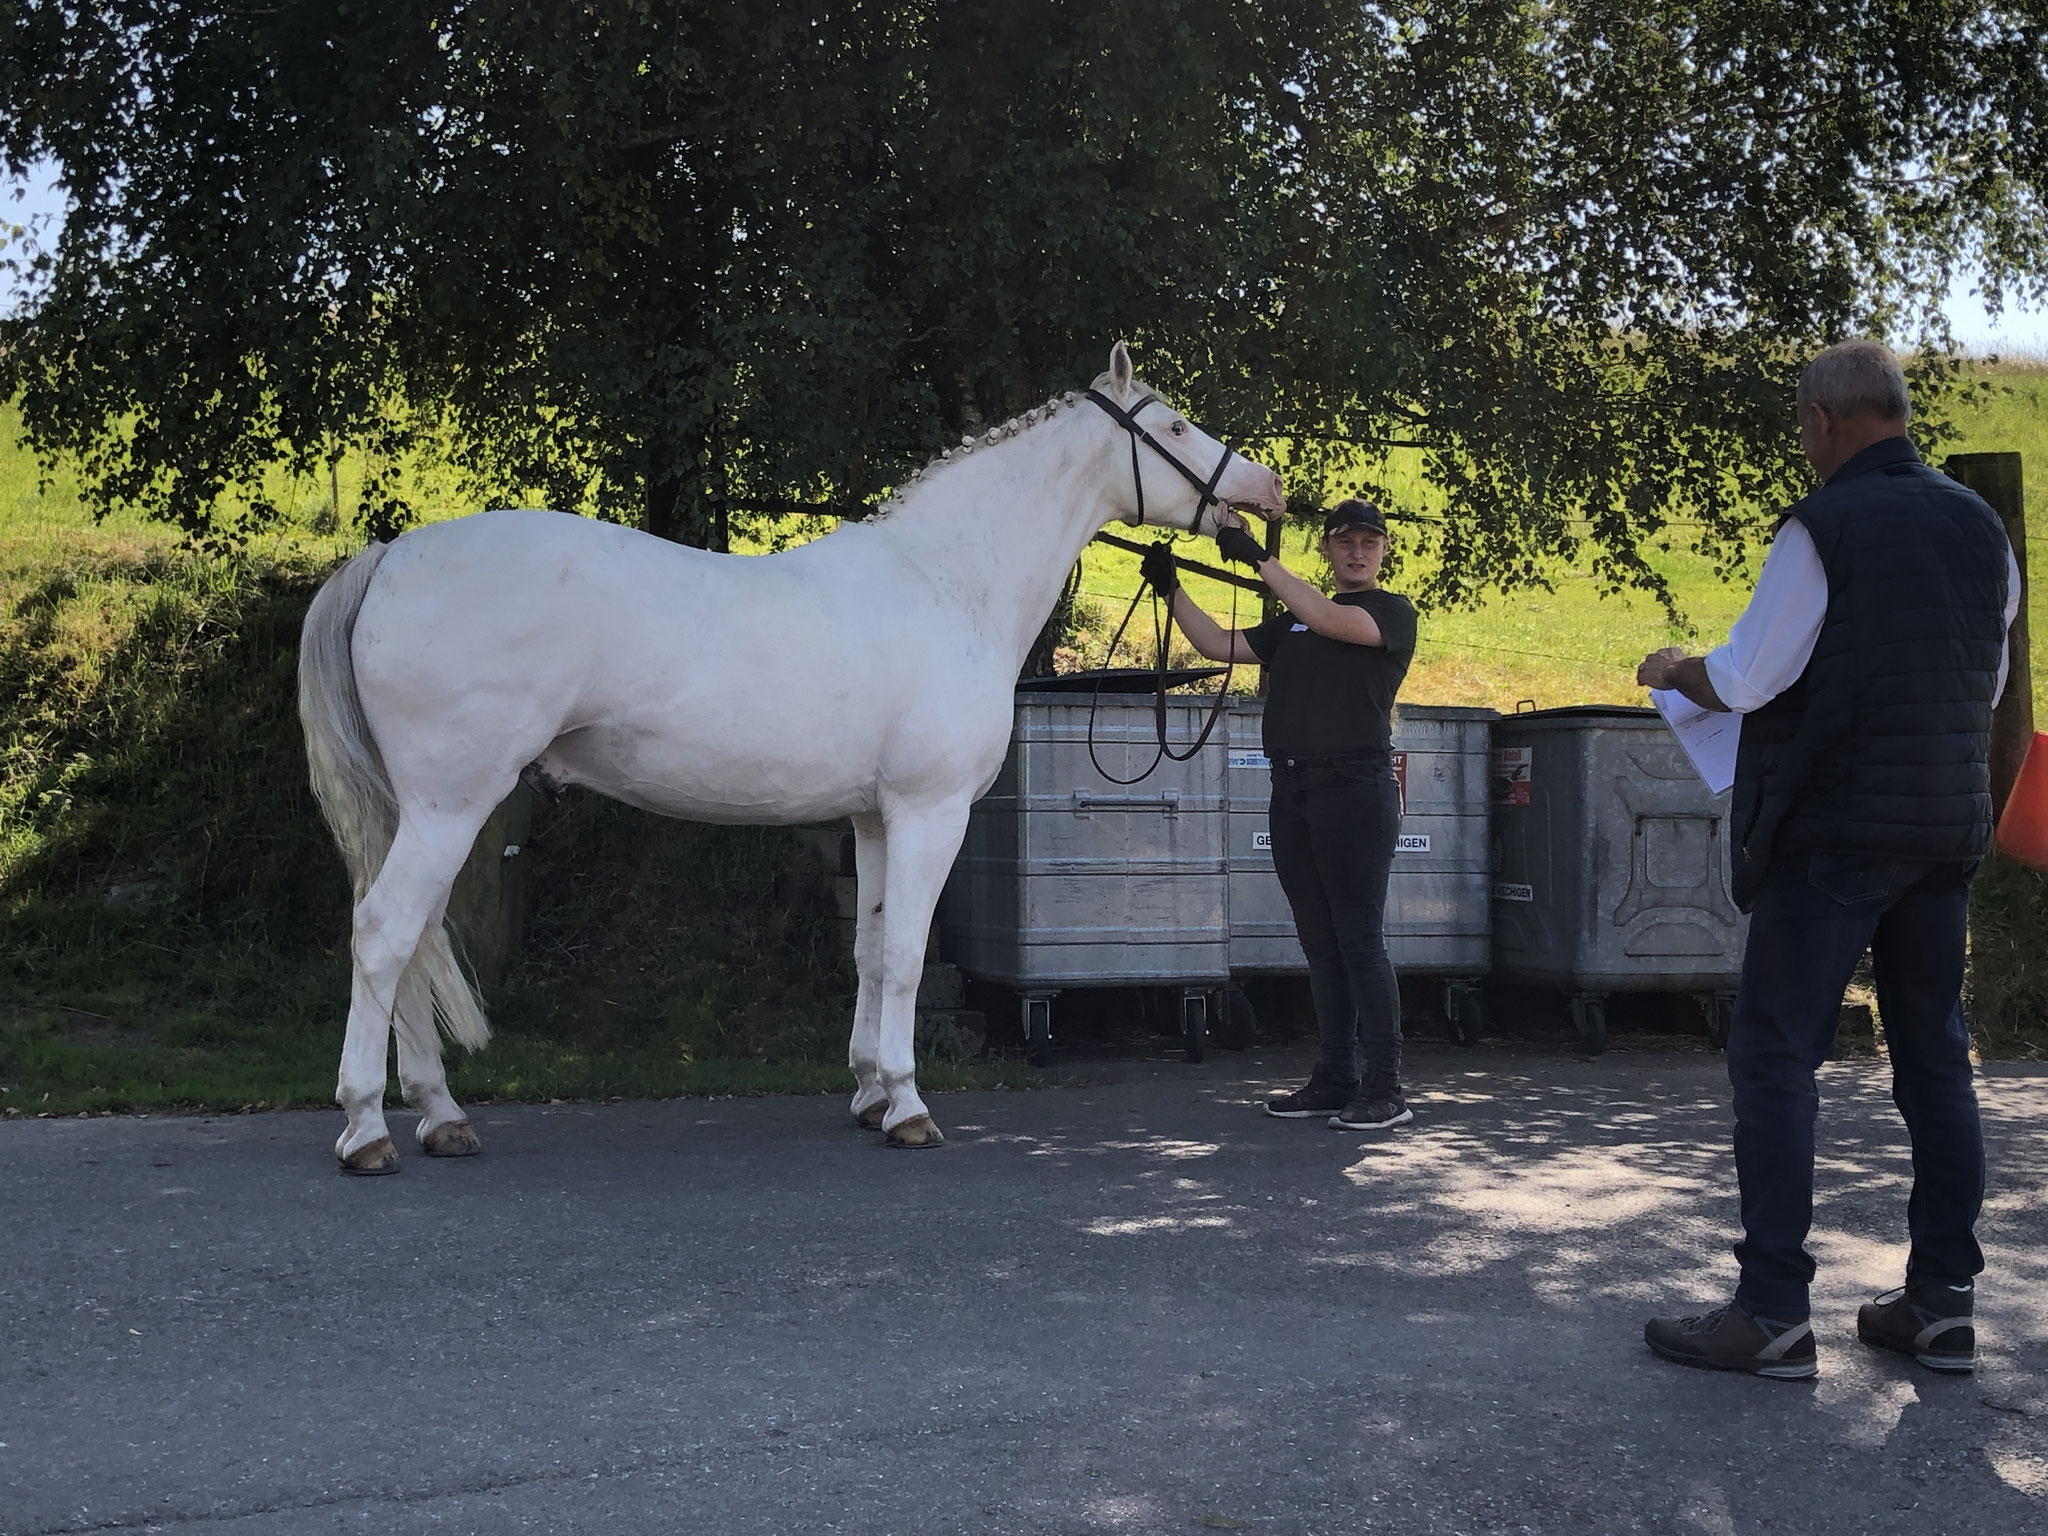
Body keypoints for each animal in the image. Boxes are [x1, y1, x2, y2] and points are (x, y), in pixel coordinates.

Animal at [296, 342, 1277, 1171]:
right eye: (1174, 426)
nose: (1266, 490)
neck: (946, 583)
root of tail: (387, 558)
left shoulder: (874, 820)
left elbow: (872, 951)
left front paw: (871, 1094)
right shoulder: (930, 814)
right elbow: (909, 954)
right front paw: (910, 1107)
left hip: (432, 812)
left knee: (417, 940)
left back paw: (439, 1115)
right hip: (449, 806)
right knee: (385, 933)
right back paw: (366, 1129)